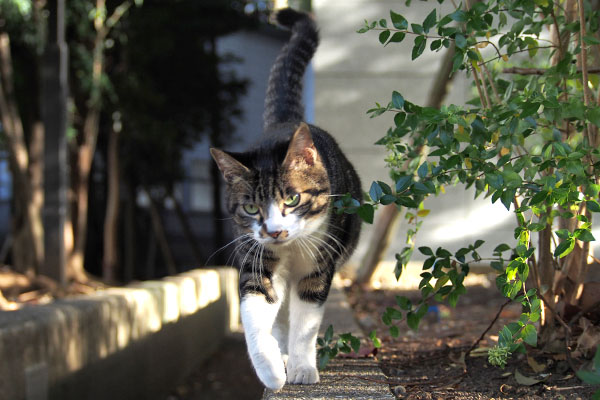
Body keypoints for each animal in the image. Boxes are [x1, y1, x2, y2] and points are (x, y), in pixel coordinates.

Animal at [211, 7, 360, 390]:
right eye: (251, 207)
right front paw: (271, 369)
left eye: (292, 199)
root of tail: (287, 121)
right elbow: (255, 315)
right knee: (278, 312)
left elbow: (306, 323)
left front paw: (303, 367)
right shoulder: (255, 257)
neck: (290, 248)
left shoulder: (318, 265)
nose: (275, 231)